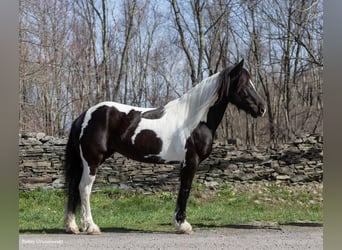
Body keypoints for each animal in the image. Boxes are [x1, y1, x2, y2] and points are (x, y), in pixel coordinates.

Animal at [65, 59, 268, 235]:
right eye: (244, 84)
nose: (262, 108)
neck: (194, 119)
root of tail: (84, 115)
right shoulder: (190, 161)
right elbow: (185, 190)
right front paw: (182, 225)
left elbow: (182, 191)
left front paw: (178, 223)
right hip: (92, 161)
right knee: (84, 189)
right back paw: (91, 227)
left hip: (85, 162)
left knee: (74, 187)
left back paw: (72, 226)